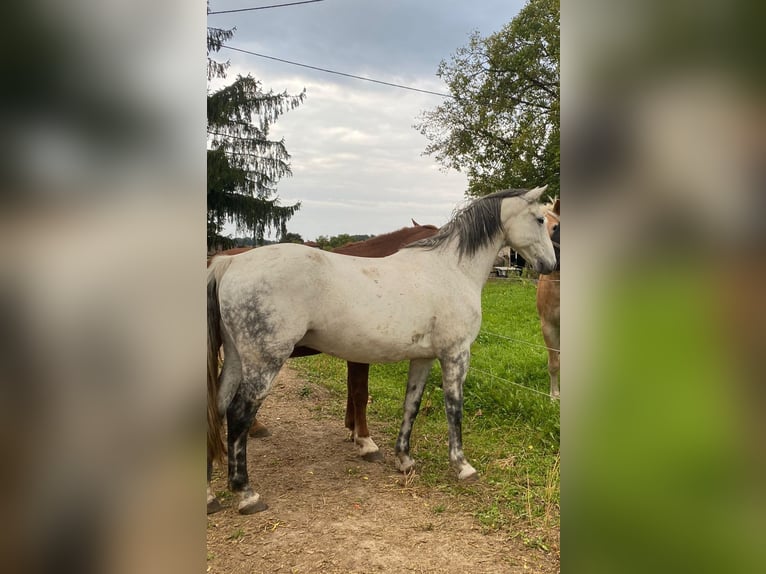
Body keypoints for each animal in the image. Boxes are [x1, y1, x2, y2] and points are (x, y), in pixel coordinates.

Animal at [210, 187, 560, 516]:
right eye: (540, 220)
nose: (549, 265)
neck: (450, 269)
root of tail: (230, 263)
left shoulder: (423, 358)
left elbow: (411, 405)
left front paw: (403, 458)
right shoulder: (456, 355)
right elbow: (454, 409)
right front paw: (462, 466)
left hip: (237, 361)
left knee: (216, 408)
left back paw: (211, 494)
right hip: (264, 362)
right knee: (238, 414)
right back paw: (245, 493)